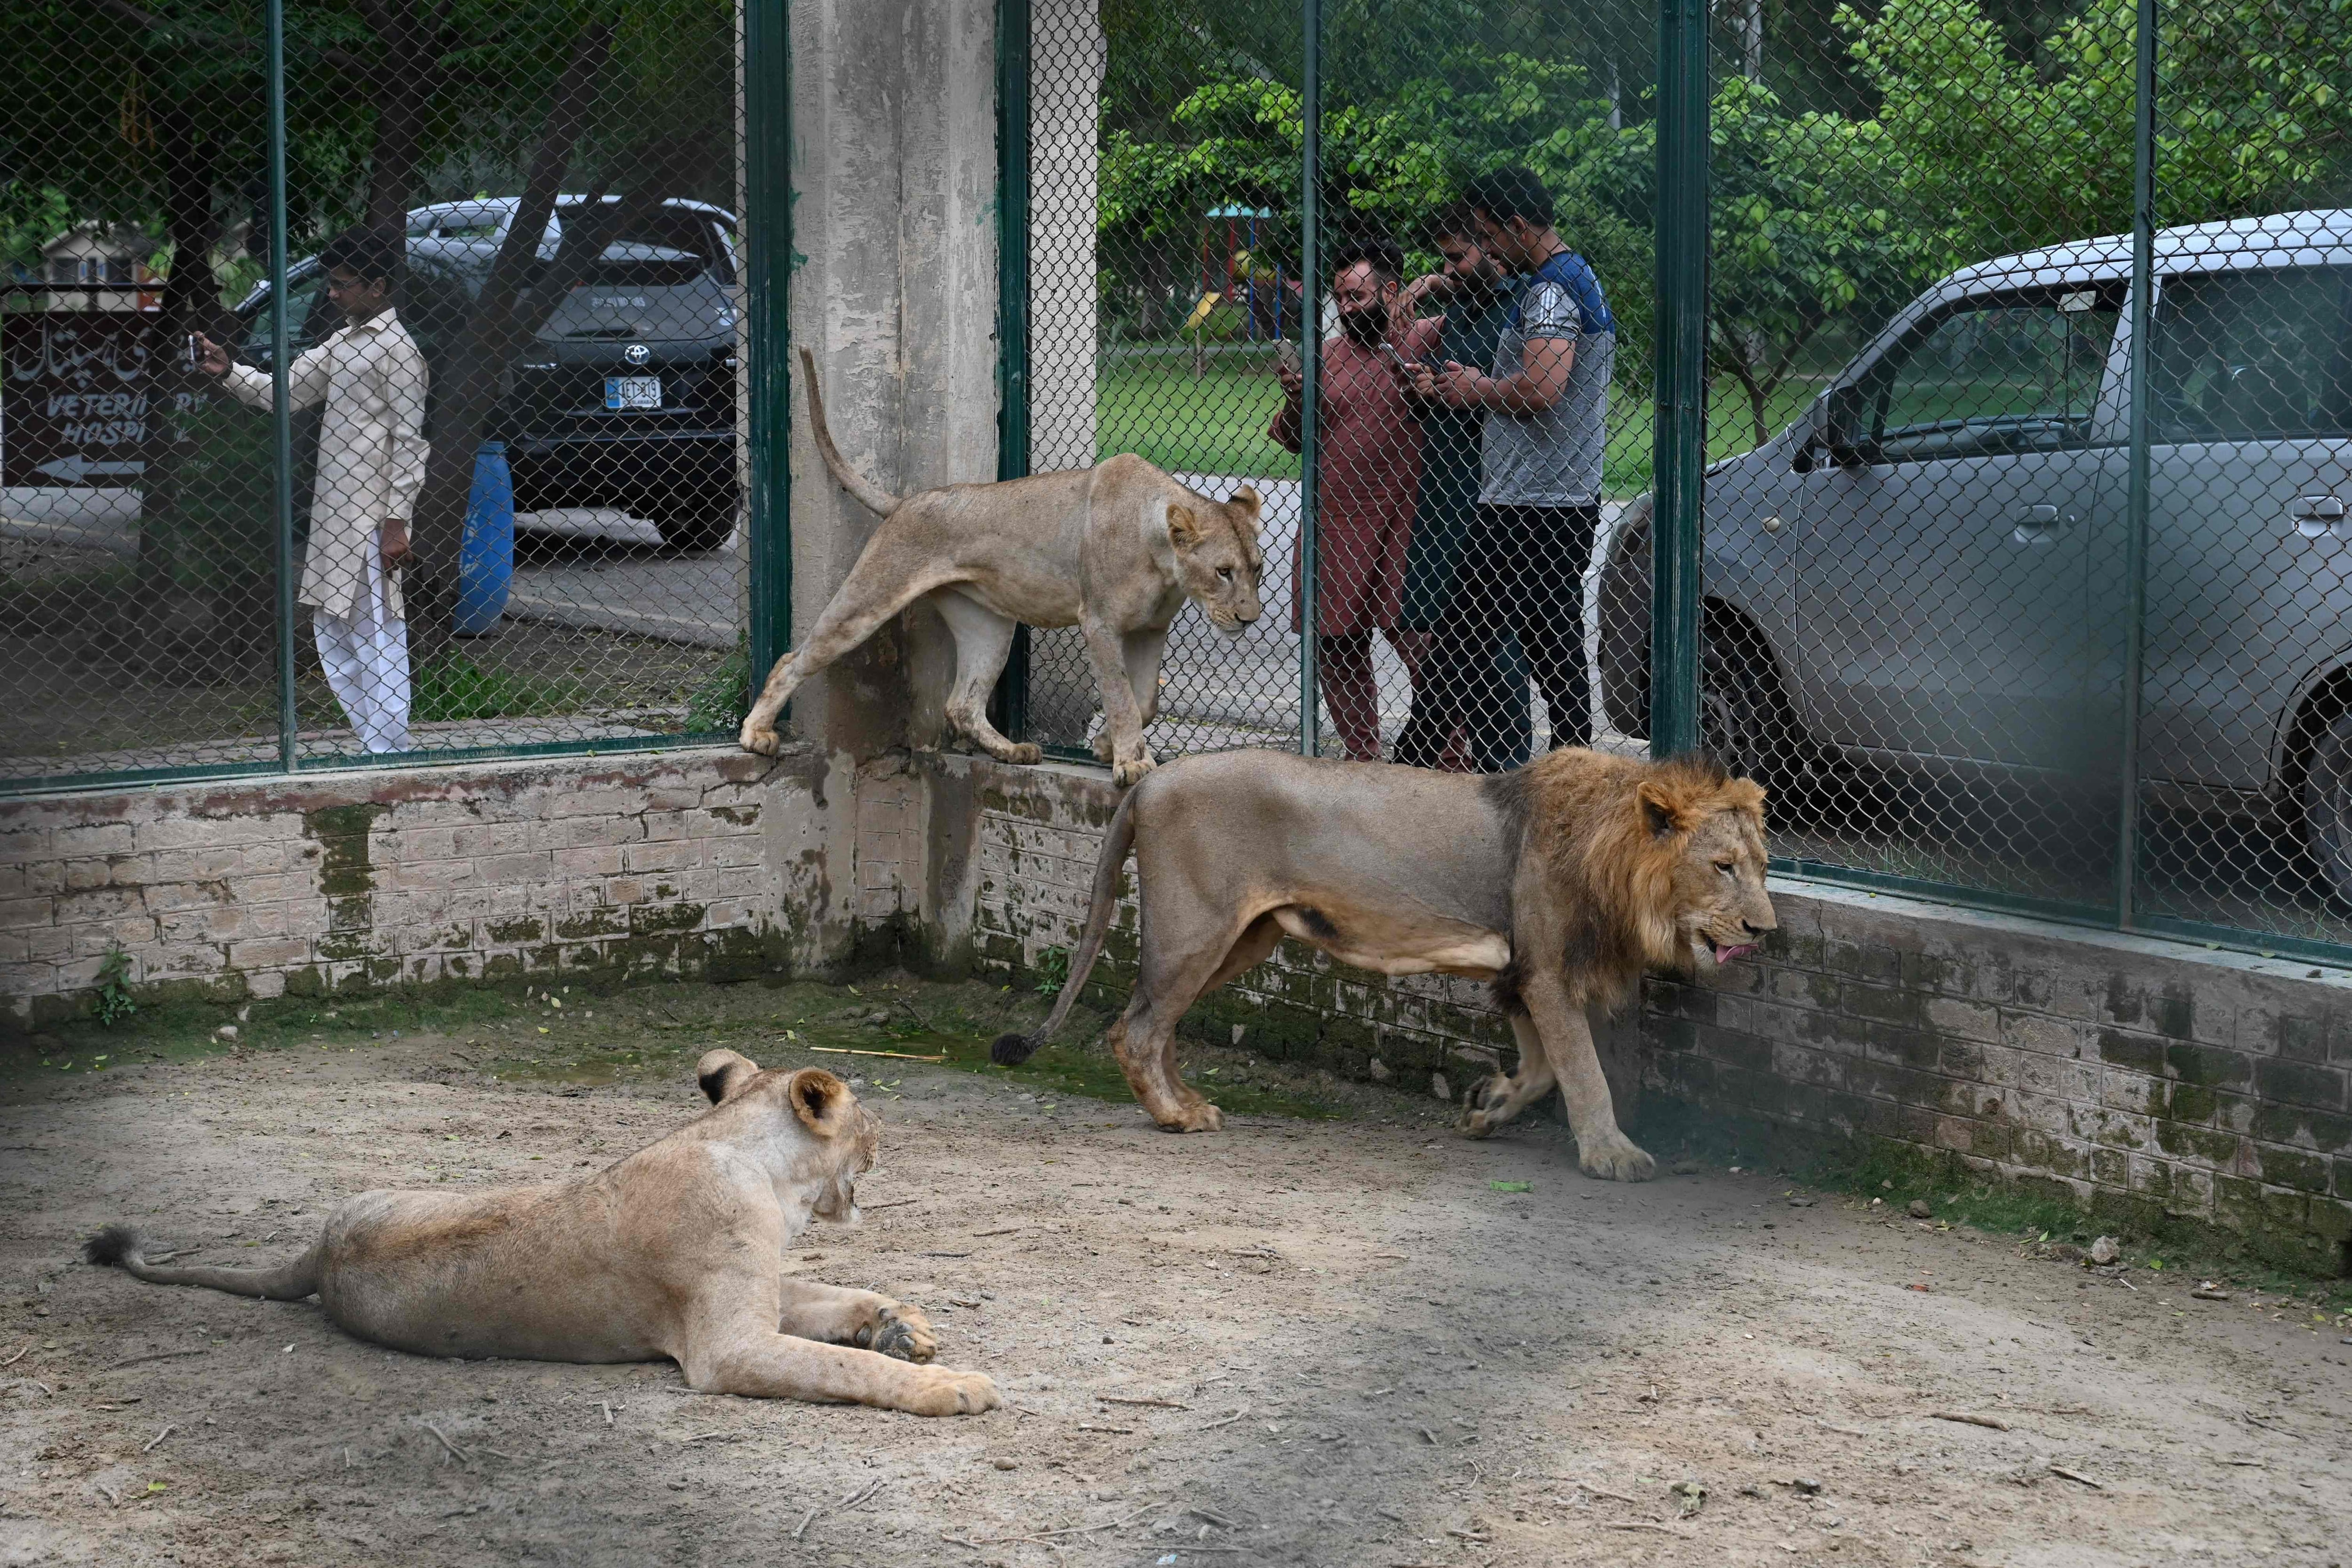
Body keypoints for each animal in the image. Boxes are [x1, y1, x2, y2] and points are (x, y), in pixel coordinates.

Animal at [83, 1048, 997, 1420]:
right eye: (867, 1117)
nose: (886, 1138)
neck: (764, 1171)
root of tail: (322, 1248)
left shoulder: (763, 1287)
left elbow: (834, 1295)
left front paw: (902, 1325)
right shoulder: (725, 1345)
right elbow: (844, 1368)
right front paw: (953, 1385)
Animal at [748, 343, 1270, 785]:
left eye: (1258, 570)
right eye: (1223, 571)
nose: (1249, 619)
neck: (1163, 562)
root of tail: (904, 502)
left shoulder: (1149, 629)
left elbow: (1145, 700)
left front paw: (1107, 748)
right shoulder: (1099, 623)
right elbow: (1121, 696)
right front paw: (1129, 763)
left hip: (988, 625)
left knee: (961, 704)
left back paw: (1012, 751)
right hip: (870, 596)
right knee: (793, 659)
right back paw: (756, 734)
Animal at [983, 748, 1769, 1175]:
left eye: (1763, 865)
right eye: (1723, 866)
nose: (1765, 928)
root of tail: (1149, 779)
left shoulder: (1518, 974)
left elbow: (1544, 1070)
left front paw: (1488, 1106)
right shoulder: (1545, 972)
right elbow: (1582, 1074)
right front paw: (1612, 1155)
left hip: (1242, 939)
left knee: (1159, 1025)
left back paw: (1190, 1102)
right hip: (1195, 929)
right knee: (1136, 1028)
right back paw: (1177, 1117)